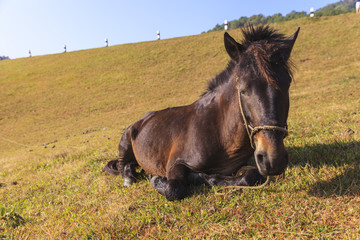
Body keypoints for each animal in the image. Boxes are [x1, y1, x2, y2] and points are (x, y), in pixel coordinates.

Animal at [105, 24, 300, 201]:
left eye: (287, 84)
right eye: (243, 89)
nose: (272, 160)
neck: (220, 132)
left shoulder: (241, 165)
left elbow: (251, 175)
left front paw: (207, 178)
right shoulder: (174, 164)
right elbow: (174, 189)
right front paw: (158, 180)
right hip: (125, 141)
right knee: (123, 166)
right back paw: (129, 177)